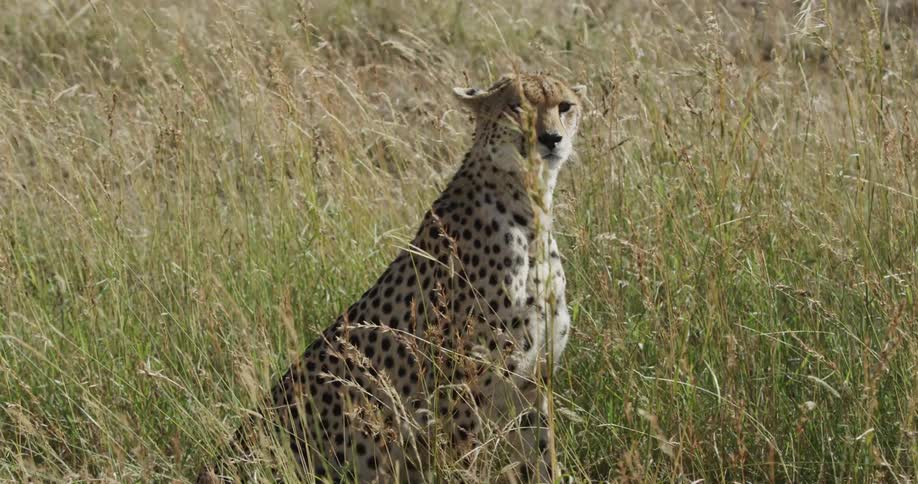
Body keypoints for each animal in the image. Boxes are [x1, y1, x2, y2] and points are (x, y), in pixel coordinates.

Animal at [198, 72, 586, 483]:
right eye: (516, 106)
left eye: (565, 106)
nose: (551, 138)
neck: (529, 209)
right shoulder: (459, 396)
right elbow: (467, 465)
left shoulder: (532, 384)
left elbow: (542, 459)